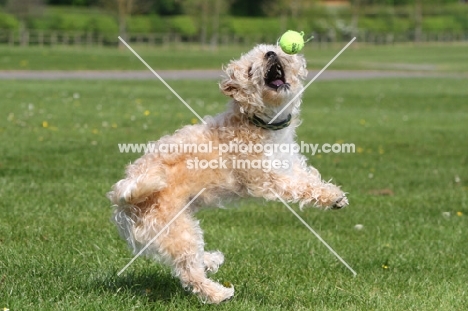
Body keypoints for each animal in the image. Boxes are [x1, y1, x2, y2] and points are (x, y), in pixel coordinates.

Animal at [107, 44, 348, 304]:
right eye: (250, 69)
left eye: (270, 49)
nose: (271, 54)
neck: (258, 123)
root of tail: (122, 198)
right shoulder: (265, 179)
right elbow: (298, 187)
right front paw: (332, 197)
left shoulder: (288, 164)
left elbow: (309, 180)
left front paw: (334, 195)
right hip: (177, 231)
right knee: (190, 274)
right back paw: (219, 294)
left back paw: (211, 260)